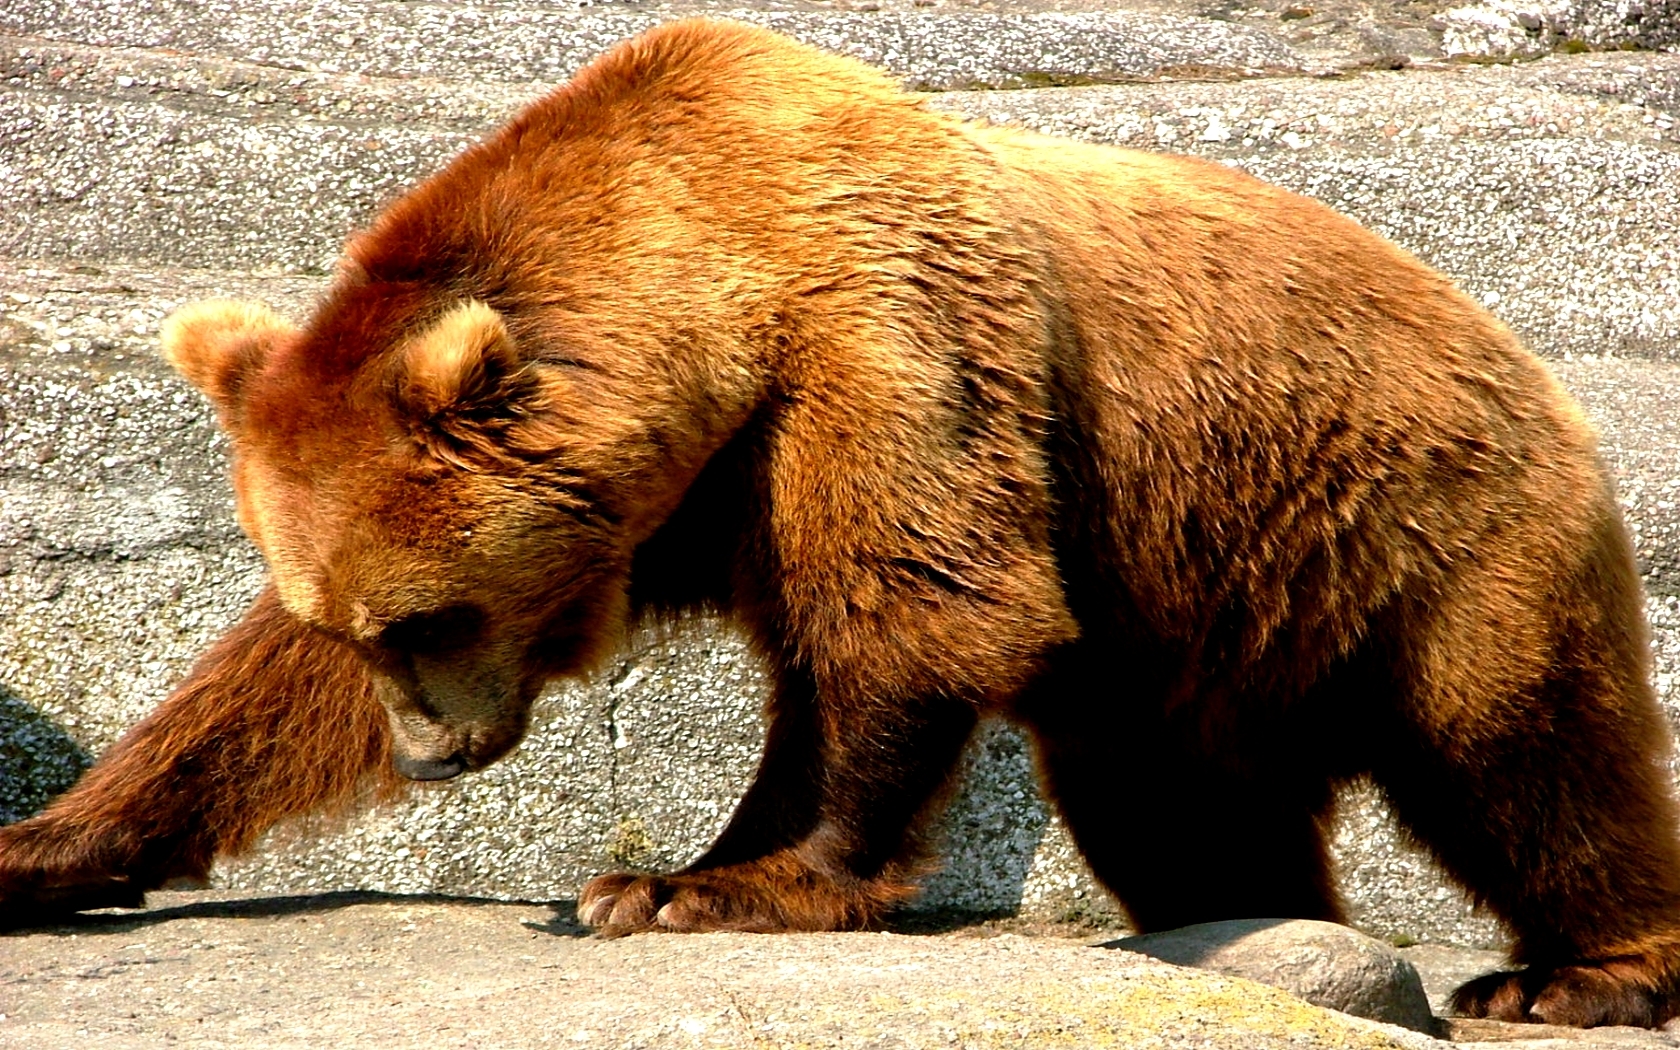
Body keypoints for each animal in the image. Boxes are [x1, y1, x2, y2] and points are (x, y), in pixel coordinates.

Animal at [2, 17, 1679, 1028]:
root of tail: (1524, 354)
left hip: (1425, 528)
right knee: (1174, 801)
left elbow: (914, 605)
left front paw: (691, 881)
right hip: (1193, 631)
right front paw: (50, 844)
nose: (428, 753)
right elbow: (250, 698)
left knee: (1522, 749)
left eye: (428, 614)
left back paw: (1570, 972)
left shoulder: (879, 351)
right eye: (352, 619)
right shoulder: (692, 486)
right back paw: (1255, 916)